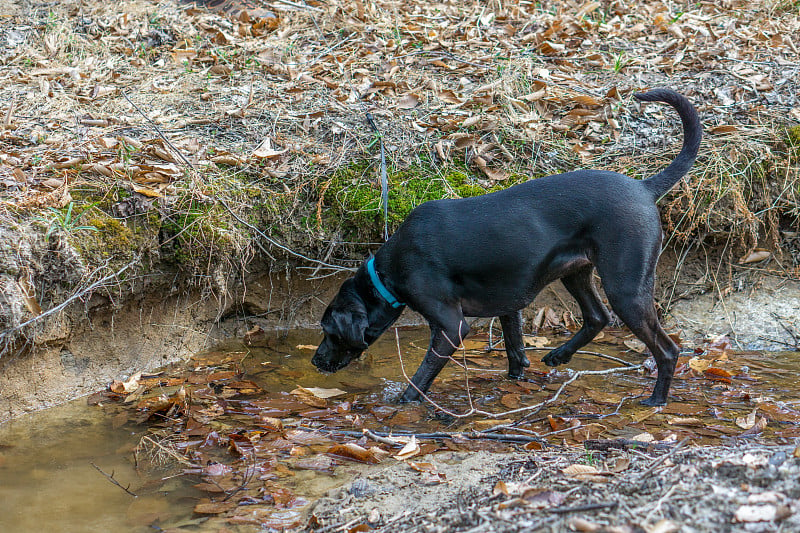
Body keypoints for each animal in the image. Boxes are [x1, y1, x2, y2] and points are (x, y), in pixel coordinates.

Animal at [312, 89, 700, 406]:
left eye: (328, 331)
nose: (316, 360)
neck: (387, 272)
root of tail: (644, 187)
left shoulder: (451, 326)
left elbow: (422, 376)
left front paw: (402, 402)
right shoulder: (509, 306)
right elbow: (515, 350)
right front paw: (515, 379)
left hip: (625, 286)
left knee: (667, 349)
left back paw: (657, 400)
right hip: (576, 272)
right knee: (597, 317)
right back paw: (559, 356)